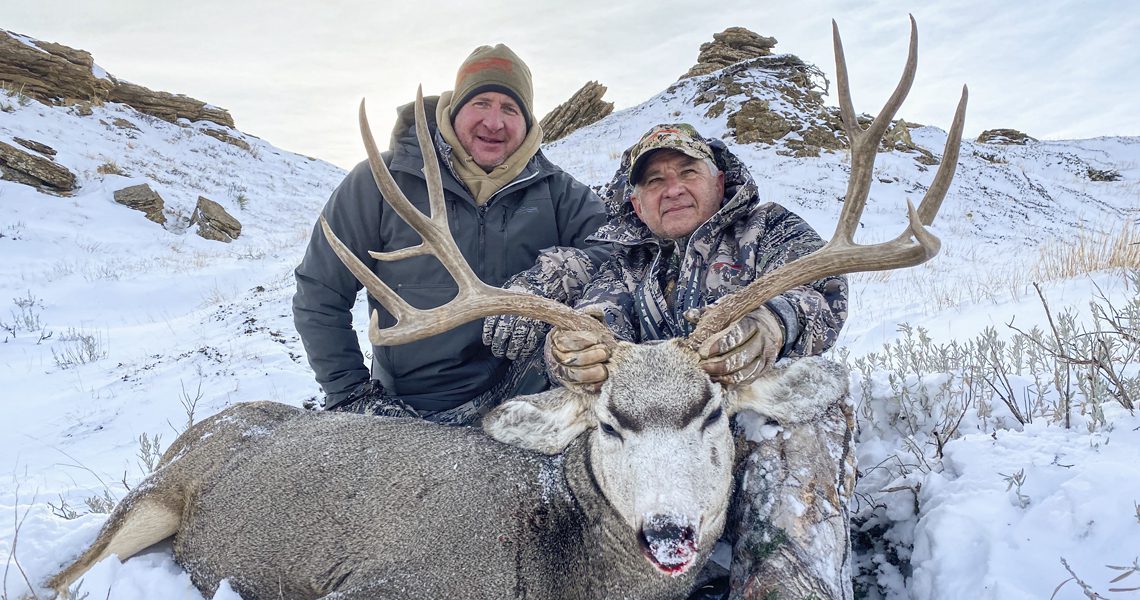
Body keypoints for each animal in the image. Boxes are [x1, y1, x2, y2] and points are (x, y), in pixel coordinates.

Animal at [48, 17, 966, 600]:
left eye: (712, 411)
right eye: (609, 423)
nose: (669, 531)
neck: (554, 562)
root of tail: (205, 425)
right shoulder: (382, 581)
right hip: (150, 498)